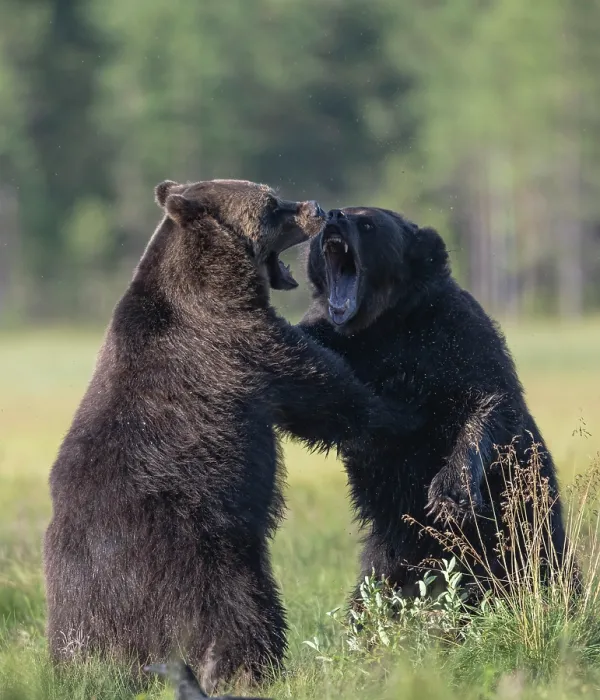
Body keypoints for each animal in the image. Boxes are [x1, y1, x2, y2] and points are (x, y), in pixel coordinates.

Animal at [44, 181, 397, 690]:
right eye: (272, 204)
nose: (316, 208)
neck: (212, 279)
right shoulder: (238, 343)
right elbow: (322, 390)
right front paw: (388, 414)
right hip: (200, 551)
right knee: (241, 612)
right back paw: (248, 670)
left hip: (76, 599)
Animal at [298, 206, 569, 599]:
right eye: (340, 214)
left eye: (367, 222)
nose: (332, 216)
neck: (383, 322)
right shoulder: (338, 342)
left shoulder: (452, 335)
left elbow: (487, 403)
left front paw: (450, 494)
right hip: (393, 549)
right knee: (375, 589)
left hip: (524, 516)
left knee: (542, 564)